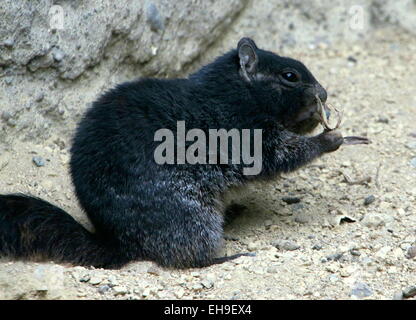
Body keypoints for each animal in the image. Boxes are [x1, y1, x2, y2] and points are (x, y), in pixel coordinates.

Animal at [0, 37, 342, 268]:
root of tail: (120, 243)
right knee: (187, 258)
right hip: (193, 214)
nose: (323, 93)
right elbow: (278, 156)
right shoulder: (247, 134)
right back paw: (226, 256)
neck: (235, 92)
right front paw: (332, 137)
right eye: (290, 76)